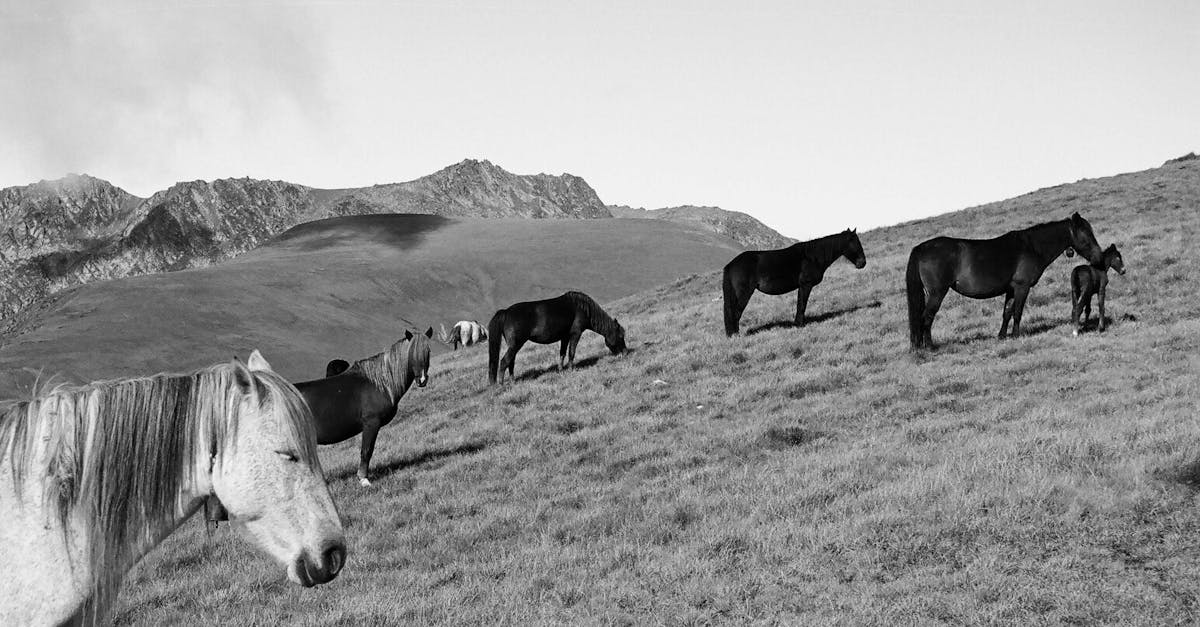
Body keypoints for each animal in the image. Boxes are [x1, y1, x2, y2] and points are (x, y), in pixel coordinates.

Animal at [296, 328, 432, 486]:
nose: (422, 380)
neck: (379, 383)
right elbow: (367, 450)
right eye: (411, 353)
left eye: (428, 351)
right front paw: (363, 479)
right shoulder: (371, 423)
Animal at [488, 291, 626, 384]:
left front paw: (561, 370)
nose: (624, 353)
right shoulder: (575, 334)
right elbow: (571, 352)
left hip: (514, 345)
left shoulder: (565, 337)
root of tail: (506, 312)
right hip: (516, 344)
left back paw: (512, 381)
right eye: (620, 336)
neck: (583, 308)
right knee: (504, 361)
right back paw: (501, 384)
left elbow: (562, 353)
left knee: (511, 362)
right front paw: (570, 369)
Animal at [722, 229, 867, 336]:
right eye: (854, 242)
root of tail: (731, 264)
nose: (862, 263)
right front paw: (799, 324)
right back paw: (735, 335)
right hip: (744, 293)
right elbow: (802, 305)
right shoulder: (805, 285)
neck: (812, 256)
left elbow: (800, 304)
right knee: (735, 313)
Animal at [906, 212, 1105, 349]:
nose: (1099, 259)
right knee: (927, 317)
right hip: (937, 293)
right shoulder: (1022, 287)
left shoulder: (1010, 289)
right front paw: (1016, 335)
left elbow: (1007, 312)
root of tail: (921, 248)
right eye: (1086, 235)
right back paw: (929, 347)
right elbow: (1017, 312)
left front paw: (1001, 336)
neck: (1031, 247)